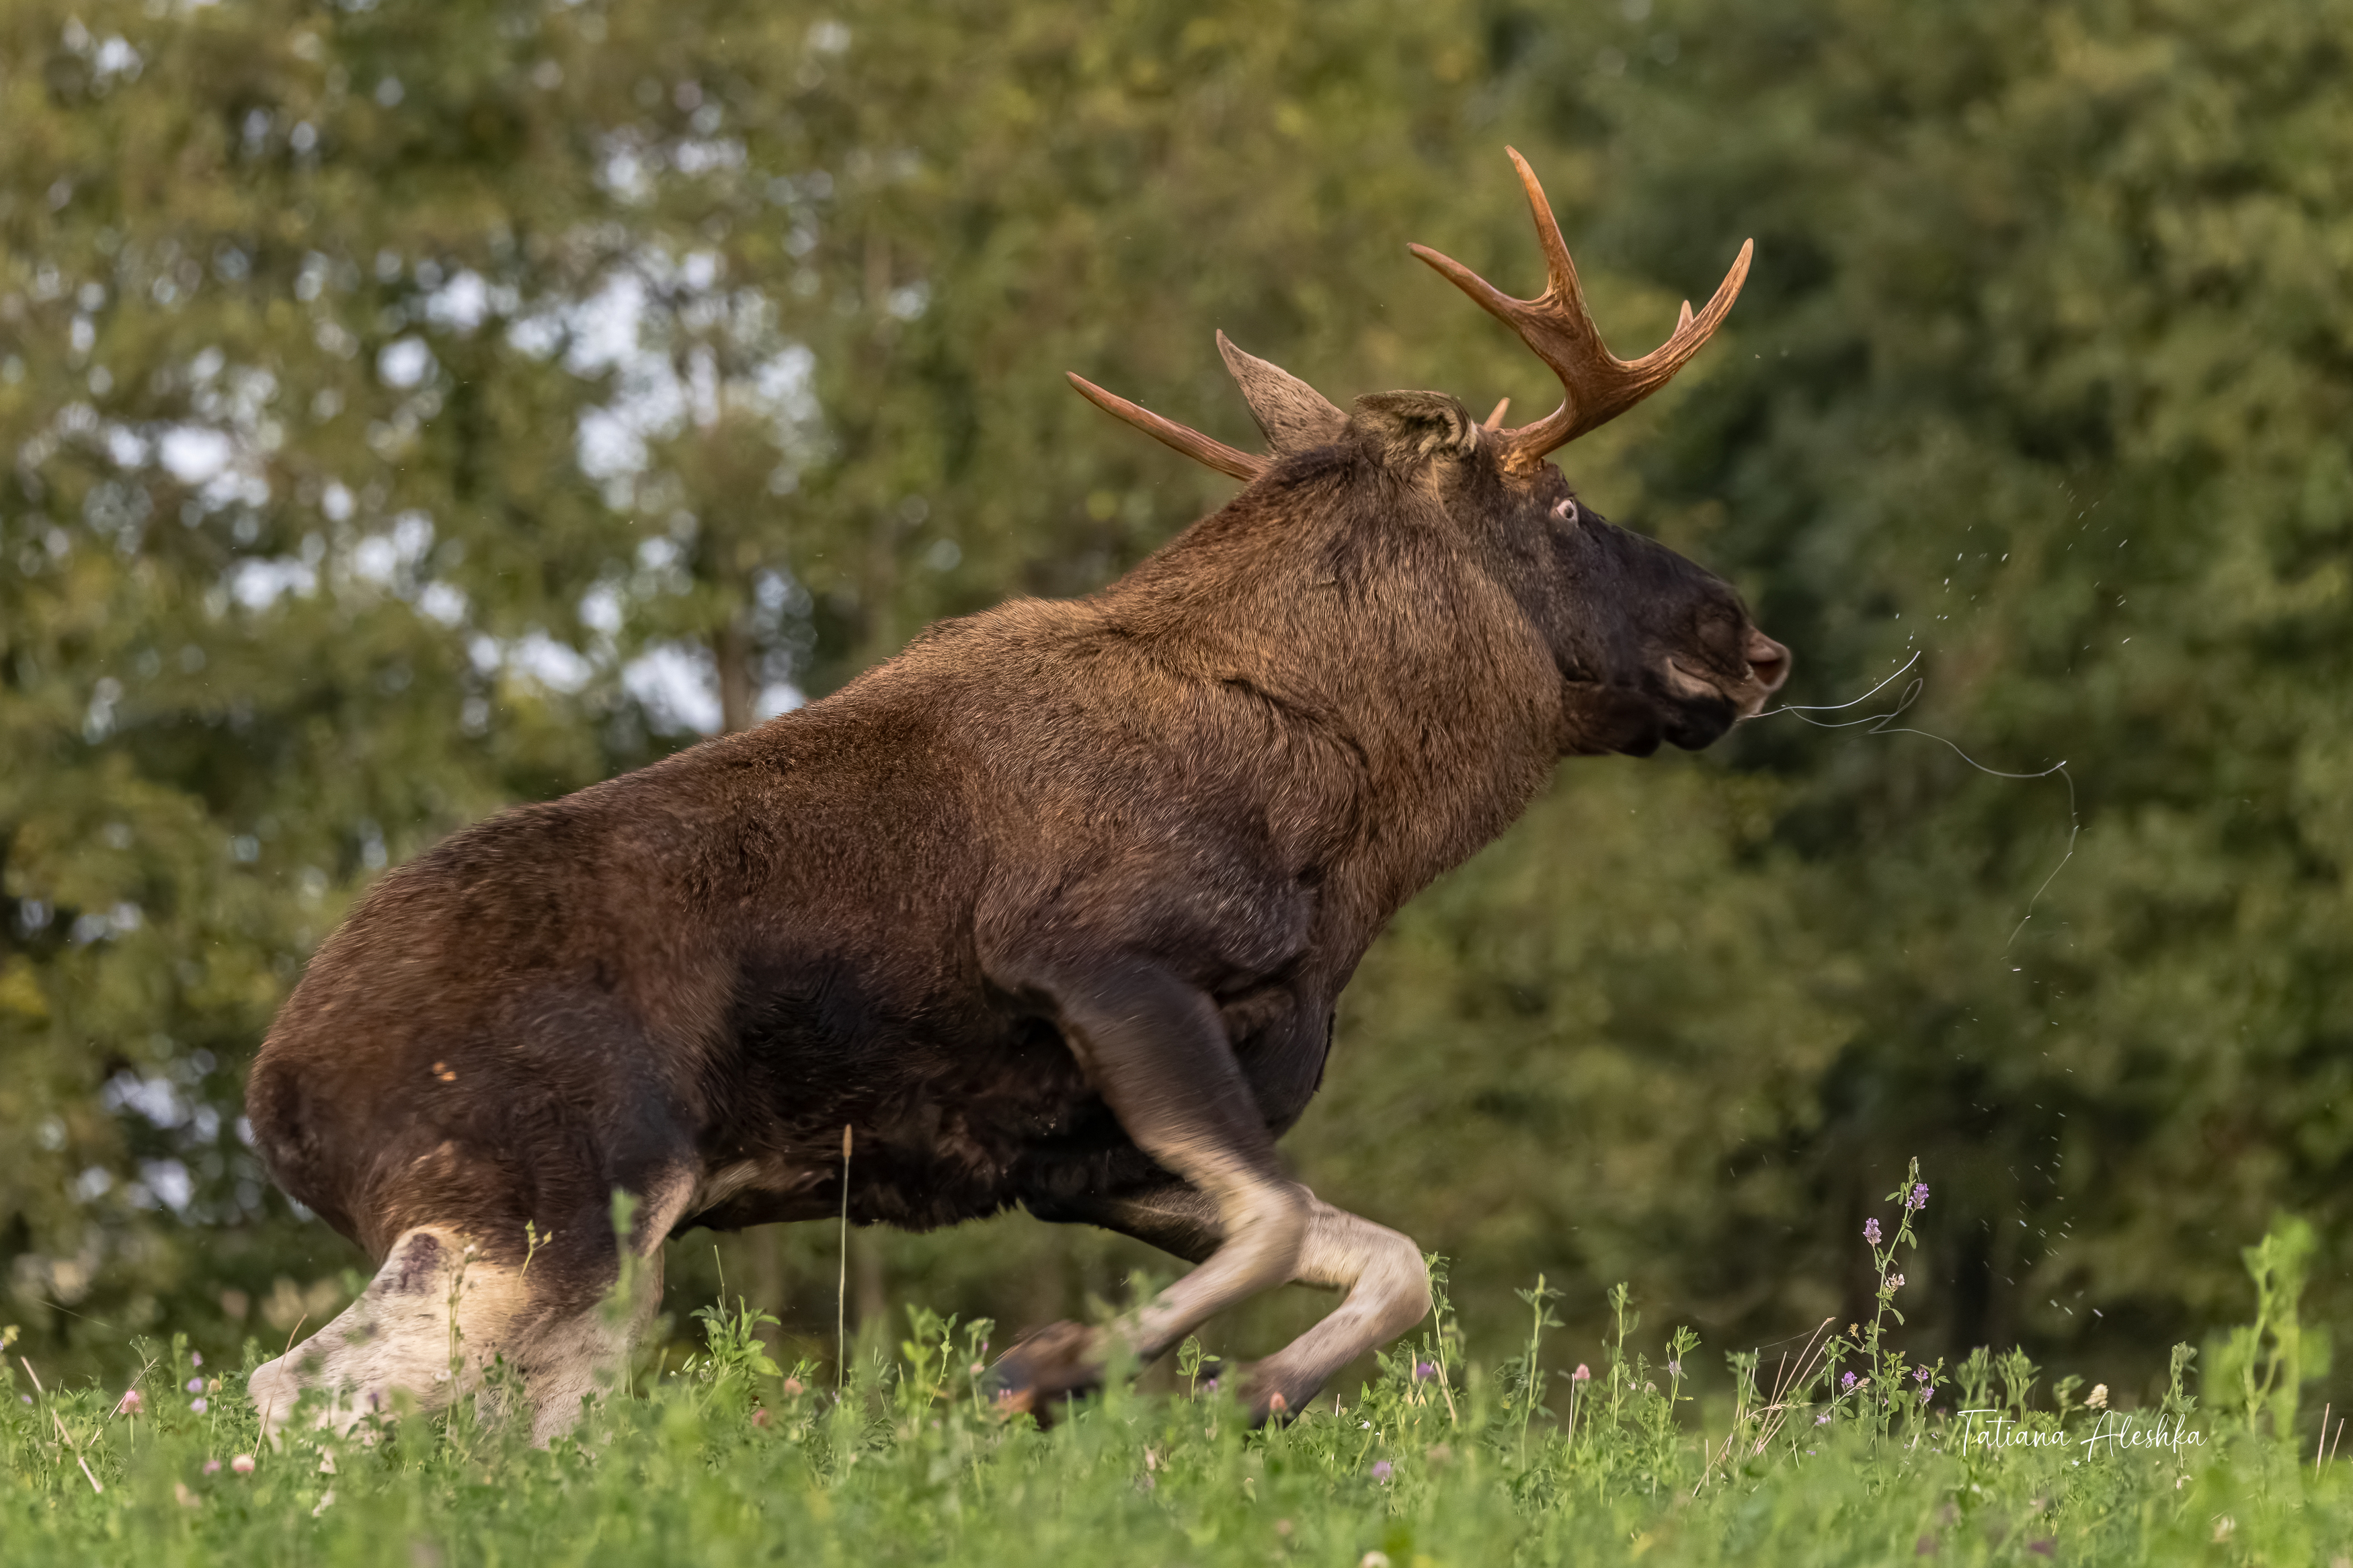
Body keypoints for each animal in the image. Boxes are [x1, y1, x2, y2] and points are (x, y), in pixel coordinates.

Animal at [243, 153, 1779, 1438]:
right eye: (1562, 506)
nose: (1746, 637)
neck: (1358, 831)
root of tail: (277, 1093)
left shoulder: (1074, 1153)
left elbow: (1390, 1257)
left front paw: (1236, 1389)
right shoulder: (1098, 960)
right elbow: (1290, 1227)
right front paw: (1046, 1368)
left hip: (578, 1256)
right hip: (561, 1200)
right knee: (299, 1392)